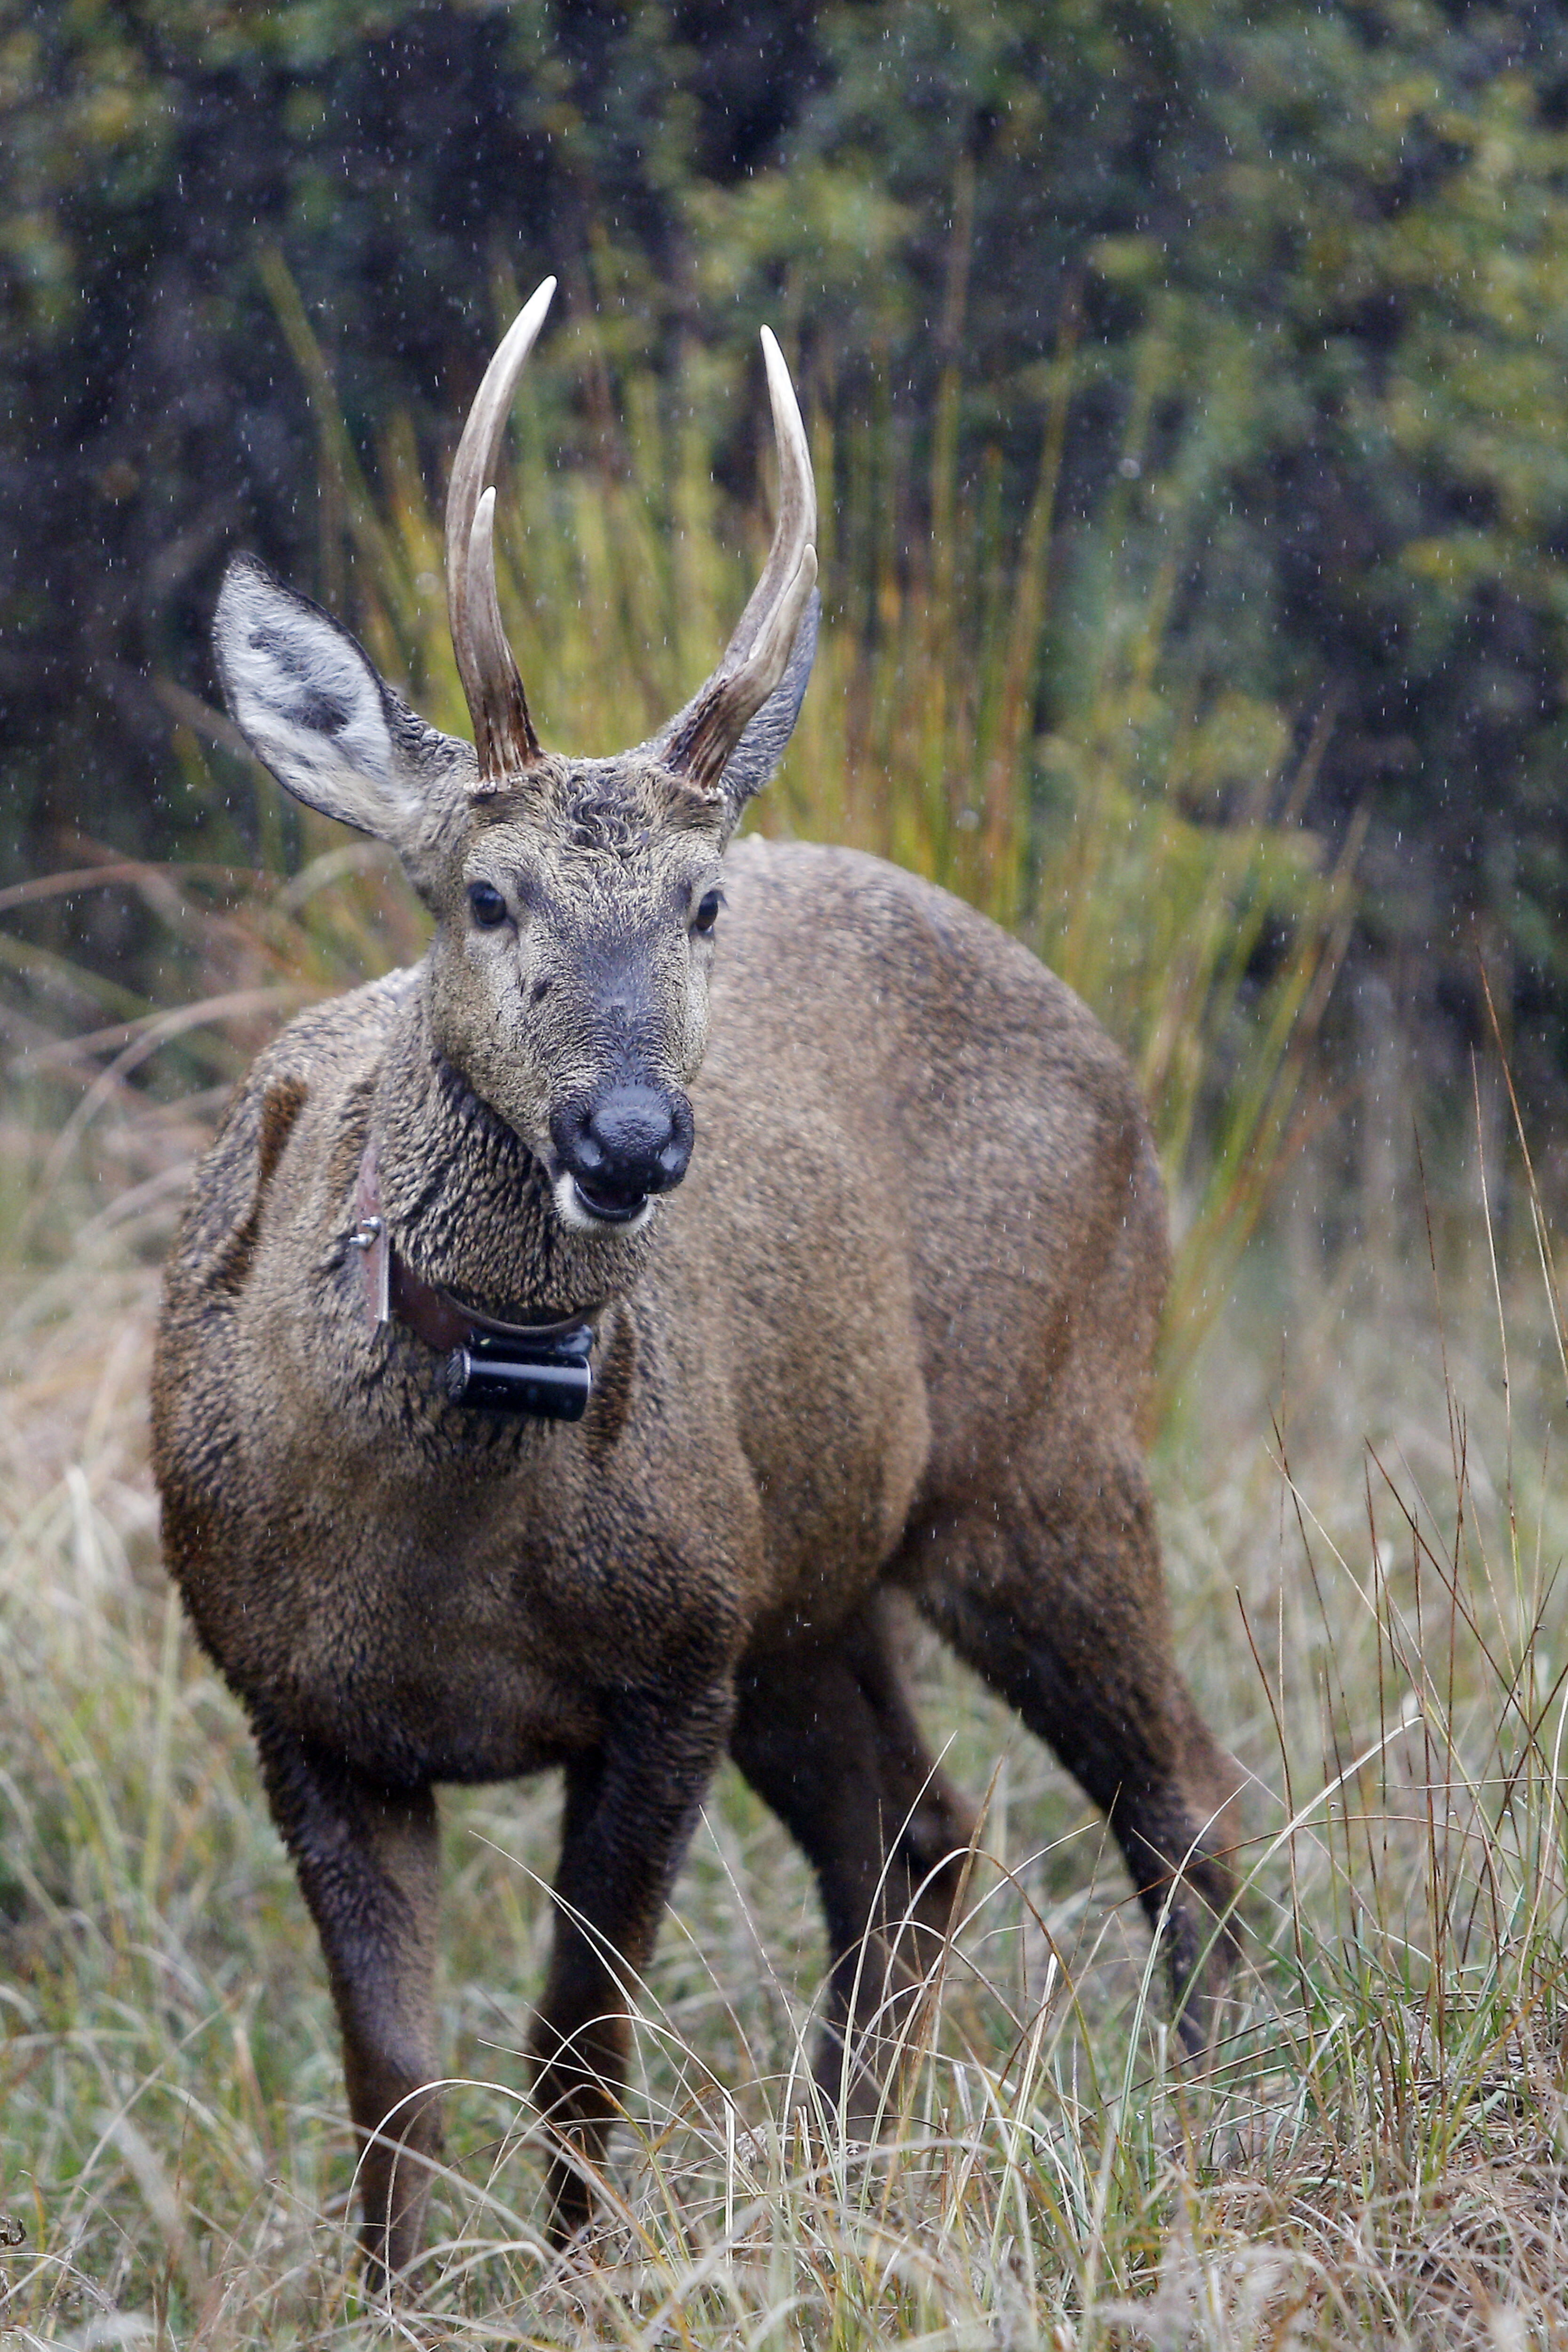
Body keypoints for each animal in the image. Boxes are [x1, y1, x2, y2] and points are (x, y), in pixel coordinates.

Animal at [152, 280, 1241, 2277]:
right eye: (481, 895)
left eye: (704, 907)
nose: (636, 1134)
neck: (433, 1549)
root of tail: (1105, 1046)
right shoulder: (294, 1697)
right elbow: (391, 2090)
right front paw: (407, 2300)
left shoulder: (669, 1660)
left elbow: (574, 2046)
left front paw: (580, 2281)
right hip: (815, 1575)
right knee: (918, 1837)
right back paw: (844, 2178)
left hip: (1041, 1448)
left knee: (1179, 1799)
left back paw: (1206, 2133)